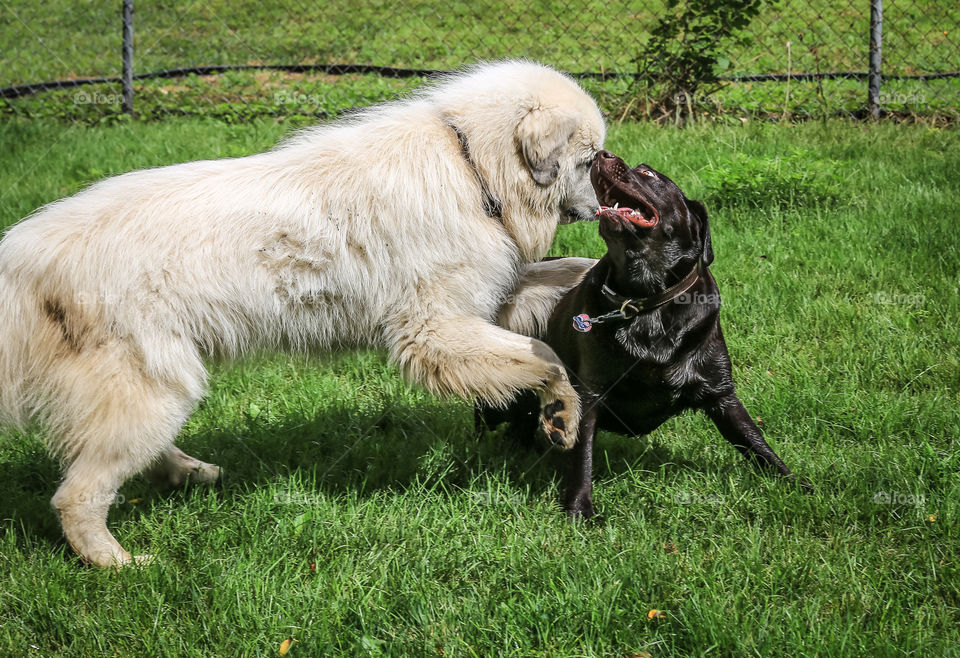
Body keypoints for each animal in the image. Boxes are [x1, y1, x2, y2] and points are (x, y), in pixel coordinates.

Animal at [0, 60, 604, 564]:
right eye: (590, 160)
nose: (601, 208)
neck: (469, 158)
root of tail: (25, 250)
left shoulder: (486, 297)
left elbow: (555, 279)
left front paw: (594, 271)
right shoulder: (435, 331)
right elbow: (544, 355)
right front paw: (562, 409)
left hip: (151, 392)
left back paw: (187, 473)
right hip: (154, 388)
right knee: (77, 495)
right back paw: (116, 564)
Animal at [476, 150, 808, 516]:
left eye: (649, 174)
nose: (602, 154)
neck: (645, 302)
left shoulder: (721, 394)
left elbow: (755, 441)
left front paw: (797, 485)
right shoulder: (590, 393)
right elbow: (583, 455)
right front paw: (578, 508)